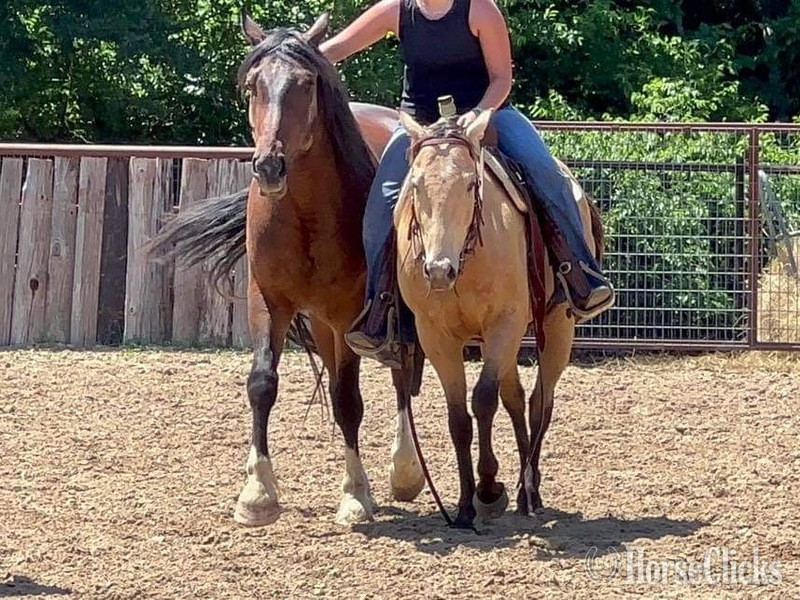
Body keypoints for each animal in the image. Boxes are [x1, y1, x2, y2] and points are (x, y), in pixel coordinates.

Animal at [149, 13, 425, 527]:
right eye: (253, 85)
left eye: (306, 83)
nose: (270, 166)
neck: (305, 212)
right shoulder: (269, 301)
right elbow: (262, 383)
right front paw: (257, 492)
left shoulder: (349, 313)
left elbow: (347, 398)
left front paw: (355, 496)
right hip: (317, 320)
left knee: (400, 373)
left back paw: (404, 471)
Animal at [393, 111, 604, 528]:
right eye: (417, 185)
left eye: (471, 182)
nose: (437, 270)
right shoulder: (436, 336)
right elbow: (459, 417)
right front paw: (463, 506)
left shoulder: (502, 326)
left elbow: (484, 400)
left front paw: (489, 489)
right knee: (517, 399)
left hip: (557, 328)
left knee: (541, 402)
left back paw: (530, 491)